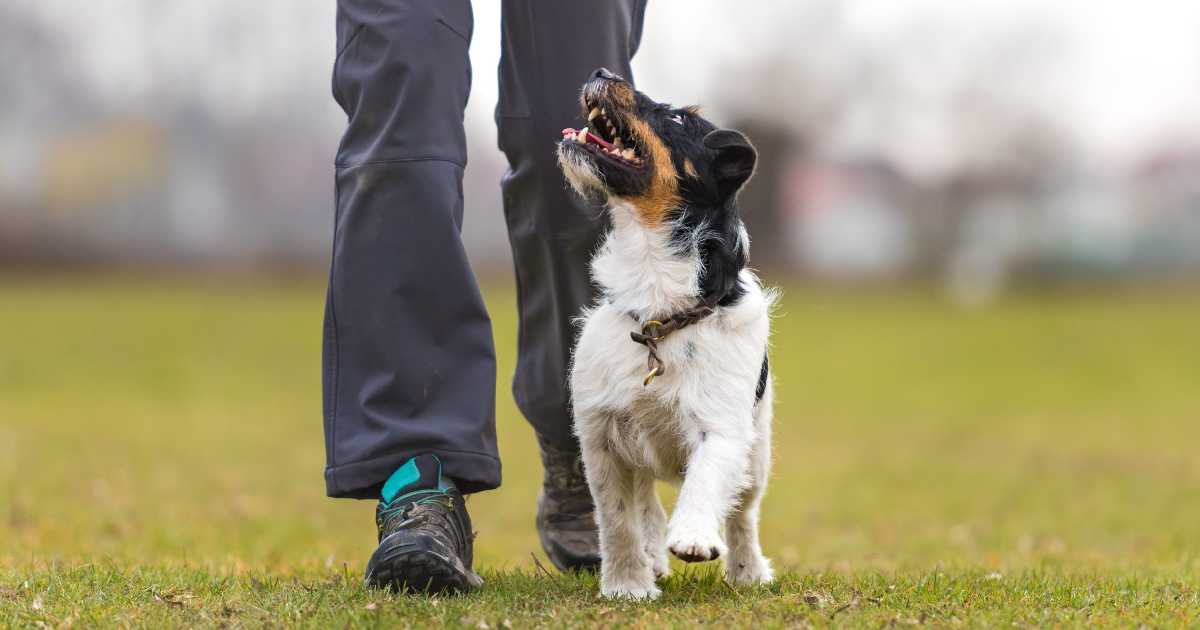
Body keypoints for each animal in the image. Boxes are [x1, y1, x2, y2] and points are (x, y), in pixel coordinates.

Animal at [556, 67, 772, 600]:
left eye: (677, 119)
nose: (602, 72)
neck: (658, 309)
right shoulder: (600, 436)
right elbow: (617, 521)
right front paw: (627, 585)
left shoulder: (722, 425)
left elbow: (707, 480)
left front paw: (693, 536)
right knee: (645, 503)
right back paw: (652, 557)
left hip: (757, 449)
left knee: (743, 514)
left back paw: (748, 571)